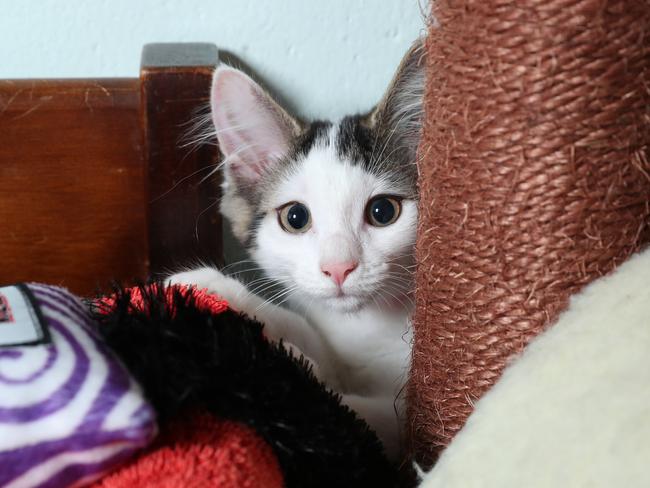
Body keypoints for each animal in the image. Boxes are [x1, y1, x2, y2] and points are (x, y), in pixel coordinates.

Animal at [167, 40, 422, 460]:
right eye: (295, 218)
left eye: (383, 211)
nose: (339, 268)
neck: (364, 324)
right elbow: (306, 327)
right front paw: (212, 288)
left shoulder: (404, 417)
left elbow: (366, 417)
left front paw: (299, 376)